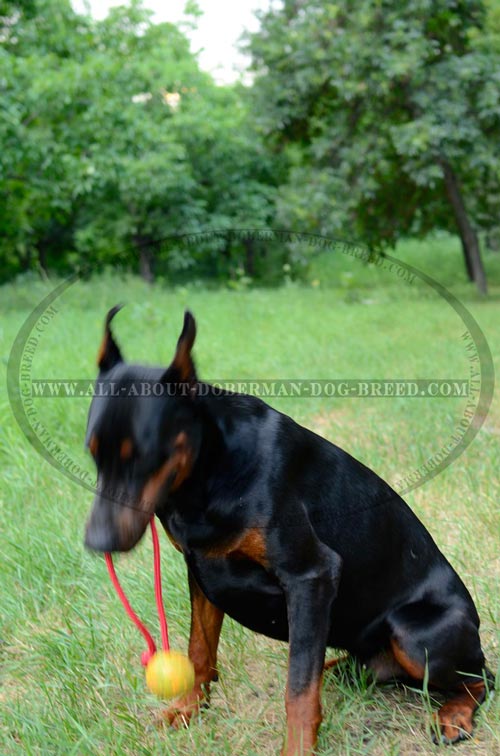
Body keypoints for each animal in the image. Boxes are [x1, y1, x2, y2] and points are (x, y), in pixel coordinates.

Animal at [84, 308, 490, 756]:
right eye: (92, 452)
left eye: (143, 455)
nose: (97, 543)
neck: (211, 471)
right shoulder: (202, 568)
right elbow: (200, 650)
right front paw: (187, 708)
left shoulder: (311, 576)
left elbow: (297, 689)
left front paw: (296, 746)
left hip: (415, 634)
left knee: (482, 678)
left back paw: (453, 714)